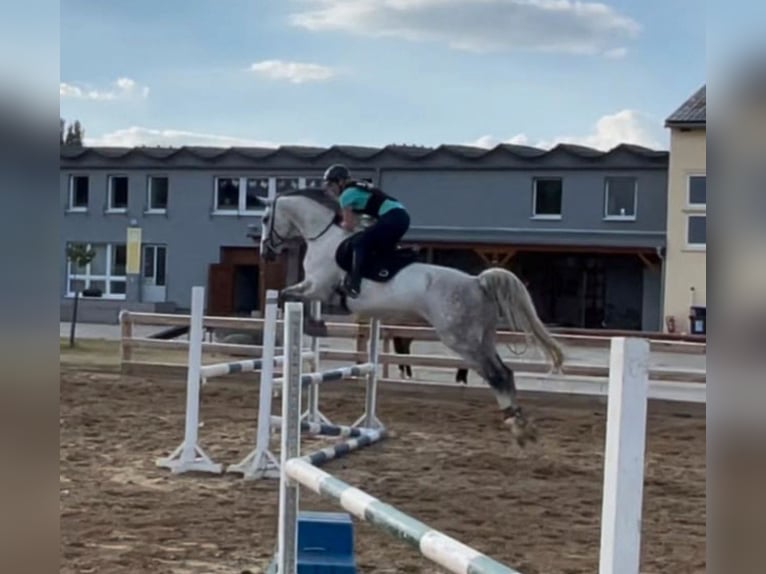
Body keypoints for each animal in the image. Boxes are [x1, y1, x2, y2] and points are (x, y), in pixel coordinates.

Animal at [258, 191, 564, 448]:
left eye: (264, 218)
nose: (265, 253)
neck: (322, 238)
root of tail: (477, 282)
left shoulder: (318, 287)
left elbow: (287, 295)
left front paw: (314, 325)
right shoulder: (315, 289)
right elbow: (293, 297)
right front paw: (315, 325)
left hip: (461, 339)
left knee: (496, 375)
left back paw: (518, 428)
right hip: (482, 338)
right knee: (505, 373)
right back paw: (520, 423)